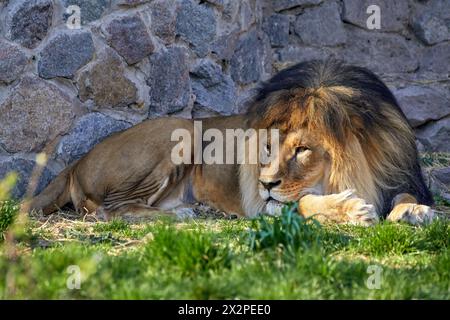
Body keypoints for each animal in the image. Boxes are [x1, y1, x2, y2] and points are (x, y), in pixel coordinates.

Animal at [24, 60, 432, 225]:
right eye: (268, 147)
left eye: (302, 150)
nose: (265, 183)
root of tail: (76, 161)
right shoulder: (268, 206)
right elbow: (305, 202)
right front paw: (353, 209)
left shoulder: (398, 173)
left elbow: (405, 194)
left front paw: (414, 210)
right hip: (182, 128)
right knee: (110, 210)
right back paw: (180, 216)